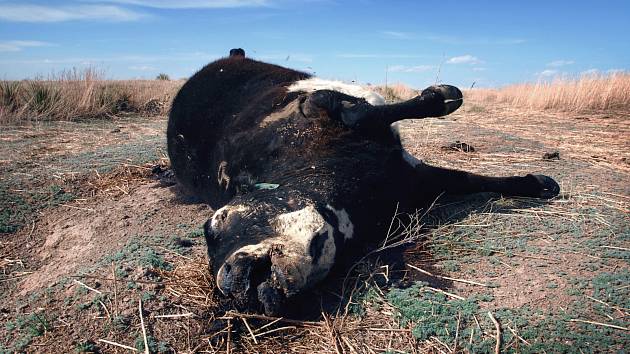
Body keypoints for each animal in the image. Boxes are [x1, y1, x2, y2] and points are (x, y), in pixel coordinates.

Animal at [168, 48, 564, 314]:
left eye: (217, 222)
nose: (234, 285)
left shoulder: (320, 107)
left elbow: (359, 113)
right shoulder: (412, 181)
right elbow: (462, 178)